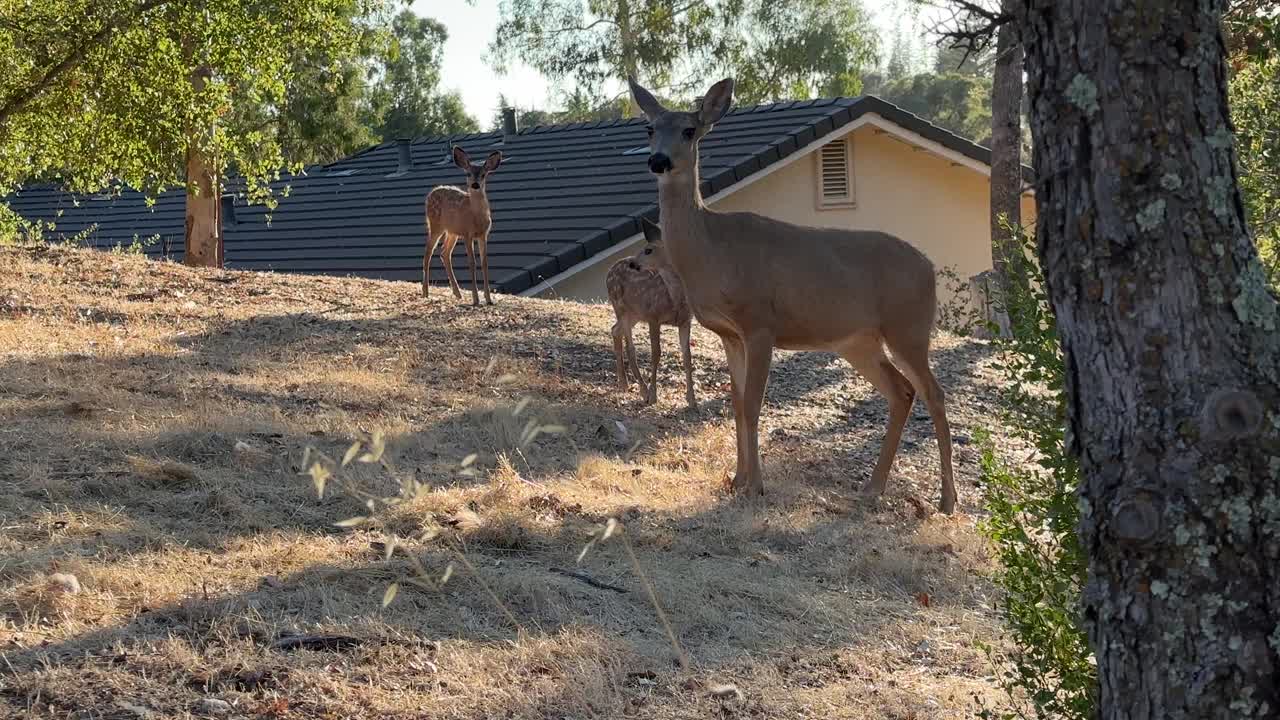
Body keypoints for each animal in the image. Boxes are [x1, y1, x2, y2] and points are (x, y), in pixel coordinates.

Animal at [419, 146, 499, 302]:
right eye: (468, 174)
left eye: (483, 175)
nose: (475, 185)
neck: (476, 217)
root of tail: (431, 193)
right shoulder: (468, 234)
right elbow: (472, 262)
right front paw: (476, 299)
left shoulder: (483, 234)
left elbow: (485, 262)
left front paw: (488, 299)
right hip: (436, 225)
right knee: (428, 252)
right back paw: (425, 292)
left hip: (452, 232)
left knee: (444, 253)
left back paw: (457, 293)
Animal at [604, 217, 696, 409]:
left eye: (648, 250)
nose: (633, 264)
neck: (674, 299)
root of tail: (609, 270)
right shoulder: (654, 317)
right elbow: (656, 354)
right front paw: (654, 396)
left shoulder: (685, 321)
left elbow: (687, 357)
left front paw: (692, 400)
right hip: (620, 305)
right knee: (630, 346)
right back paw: (643, 391)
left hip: (635, 313)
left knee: (615, 330)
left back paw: (623, 384)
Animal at [624, 77, 957, 509]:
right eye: (649, 129)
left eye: (689, 130)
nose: (659, 161)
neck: (711, 251)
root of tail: (930, 267)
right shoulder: (729, 333)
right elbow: (736, 404)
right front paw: (736, 479)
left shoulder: (760, 322)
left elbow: (753, 404)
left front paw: (756, 485)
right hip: (858, 341)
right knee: (901, 392)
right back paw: (873, 487)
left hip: (908, 326)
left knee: (934, 392)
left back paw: (946, 501)